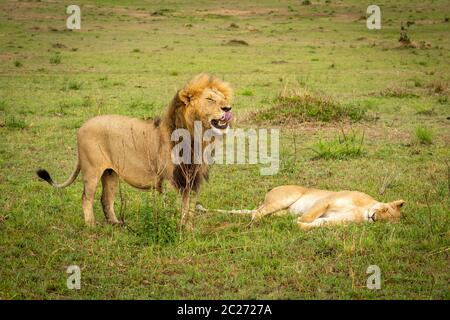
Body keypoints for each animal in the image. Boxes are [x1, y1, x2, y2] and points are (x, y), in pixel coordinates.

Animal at [37, 74, 234, 229]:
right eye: (210, 99)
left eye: (222, 98)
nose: (228, 108)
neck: (197, 135)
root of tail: (82, 126)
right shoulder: (169, 178)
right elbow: (175, 206)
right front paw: (175, 226)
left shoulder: (191, 178)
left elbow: (189, 207)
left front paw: (188, 228)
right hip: (92, 170)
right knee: (86, 197)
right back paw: (91, 225)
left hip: (110, 173)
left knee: (105, 199)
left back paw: (116, 223)